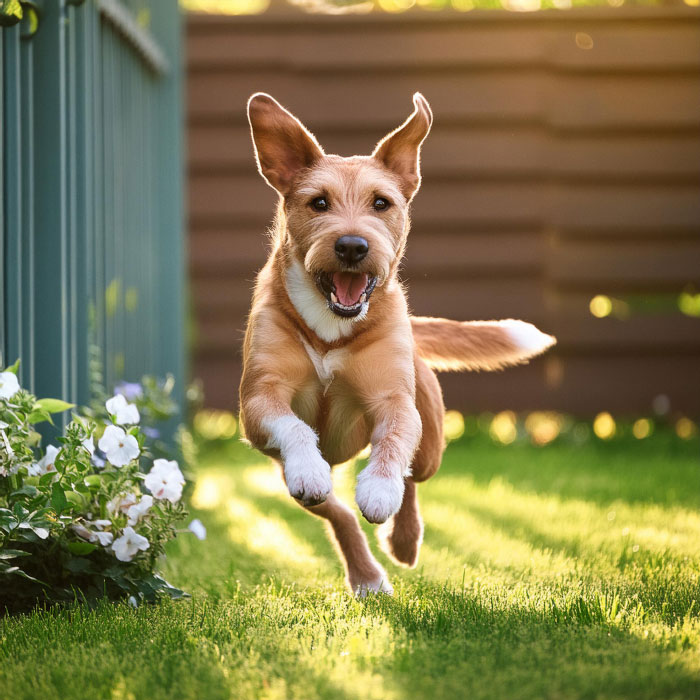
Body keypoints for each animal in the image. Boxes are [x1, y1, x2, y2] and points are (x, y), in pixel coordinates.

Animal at [238, 91, 556, 596]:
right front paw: (310, 466)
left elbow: (392, 445)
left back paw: (403, 538)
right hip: (287, 475)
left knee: (413, 477)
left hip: (430, 440)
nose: (351, 246)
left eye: (381, 203)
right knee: (333, 508)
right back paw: (366, 574)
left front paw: (379, 489)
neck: (330, 326)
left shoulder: (395, 401)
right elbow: (295, 428)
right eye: (319, 202)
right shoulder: (257, 402)